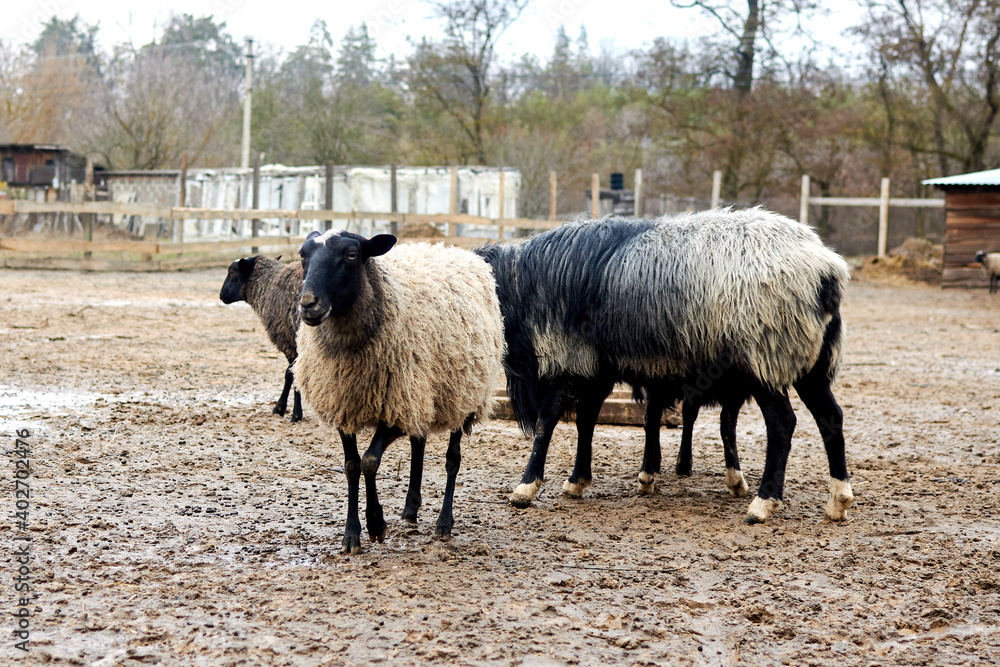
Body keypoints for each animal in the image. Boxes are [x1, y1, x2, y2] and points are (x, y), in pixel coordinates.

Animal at [220, 256, 304, 422]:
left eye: (232, 273)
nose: (221, 295)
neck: (268, 285)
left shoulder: (289, 340)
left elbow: (290, 374)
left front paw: (290, 412)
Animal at [293, 230, 505, 554]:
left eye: (352, 254)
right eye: (303, 255)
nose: (308, 304)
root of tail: (459, 252)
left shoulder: (395, 408)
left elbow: (369, 461)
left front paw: (376, 524)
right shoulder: (345, 404)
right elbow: (352, 465)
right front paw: (351, 534)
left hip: (463, 394)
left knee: (452, 459)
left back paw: (444, 523)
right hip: (422, 393)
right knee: (419, 445)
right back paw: (410, 510)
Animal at [476, 207, 853, 524]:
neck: (528, 288)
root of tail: (826, 269)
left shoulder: (573, 361)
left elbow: (547, 421)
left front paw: (526, 487)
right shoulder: (597, 367)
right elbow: (586, 421)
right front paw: (577, 480)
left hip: (764, 357)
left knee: (782, 424)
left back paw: (763, 503)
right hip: (809, 364)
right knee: (830, 416)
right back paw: (839, 500)